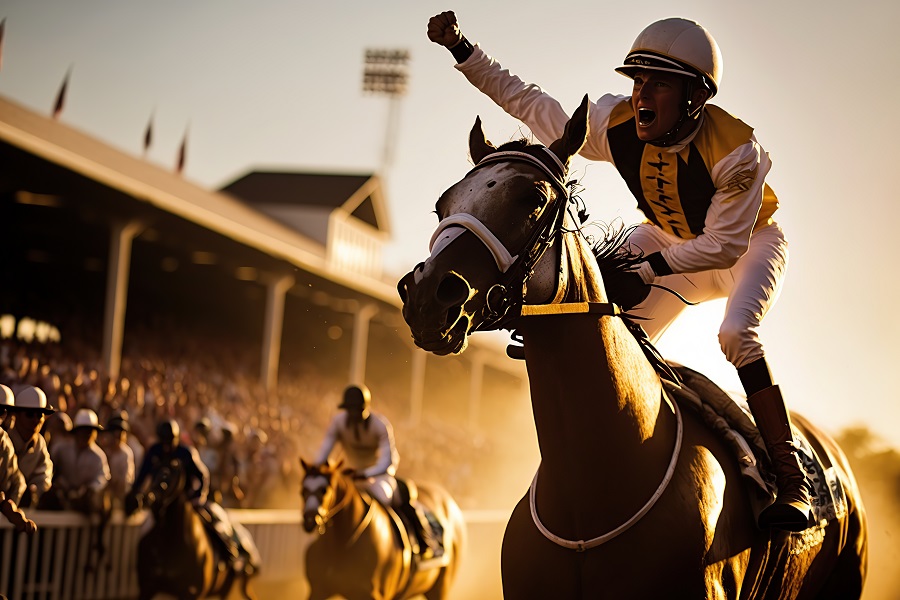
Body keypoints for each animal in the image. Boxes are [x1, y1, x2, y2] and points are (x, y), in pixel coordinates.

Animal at [300, 460, 464, 600]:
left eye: (324, 490)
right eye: (302, 490)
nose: (309, 520)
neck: (341, 545)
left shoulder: (375, 594)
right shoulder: (318, 589)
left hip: (440, 587)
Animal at [400, 96, 864, 596]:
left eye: (533, 200)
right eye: (442, 205)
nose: (427, 296)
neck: (592, 499)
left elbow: (723, 240)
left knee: (740, 335)